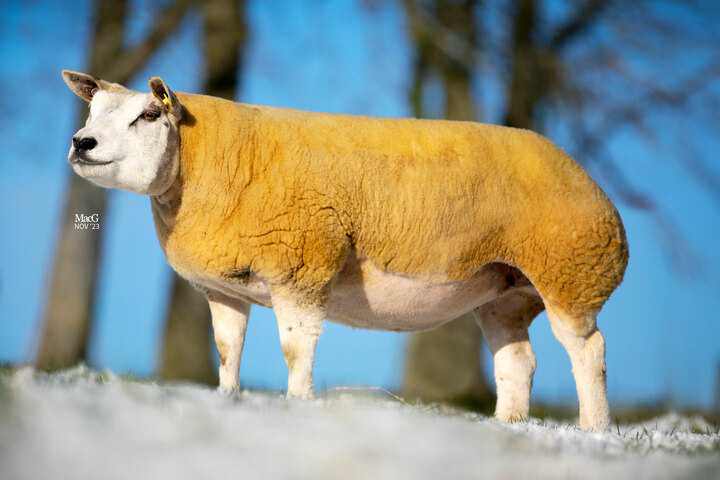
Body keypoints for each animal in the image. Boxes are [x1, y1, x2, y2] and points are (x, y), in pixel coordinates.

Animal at [63, 68, 632, 432]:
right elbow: (227, 351)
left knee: (589, 351)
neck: (205, 160)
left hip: (569, 273)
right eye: (93, 109)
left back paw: (595, 431)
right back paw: (508, 426)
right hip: (506, 291)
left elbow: (296, 350)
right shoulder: (226, 289)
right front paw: (228, 401)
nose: (81, 142)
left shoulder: (303, 267)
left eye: (147, 116)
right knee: (518, 362)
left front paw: (297, 405)